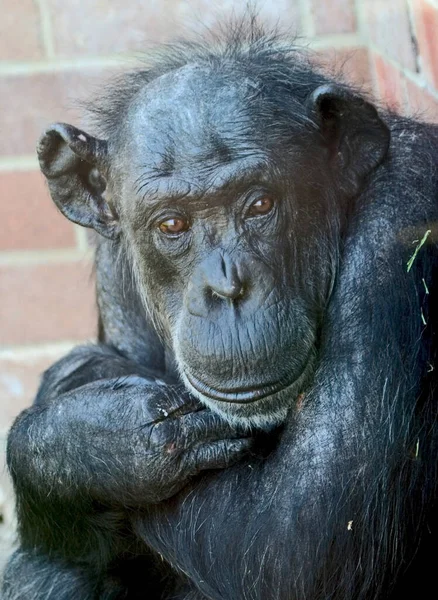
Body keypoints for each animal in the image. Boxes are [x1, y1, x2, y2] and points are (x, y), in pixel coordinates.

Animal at [1, 18, 436, 600]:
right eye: (172, 224)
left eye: (259, 204)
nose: (227, 288)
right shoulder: (114, 267)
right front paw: (94, 438)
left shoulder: (398, 227)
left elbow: (295, 541)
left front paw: (91, 430)